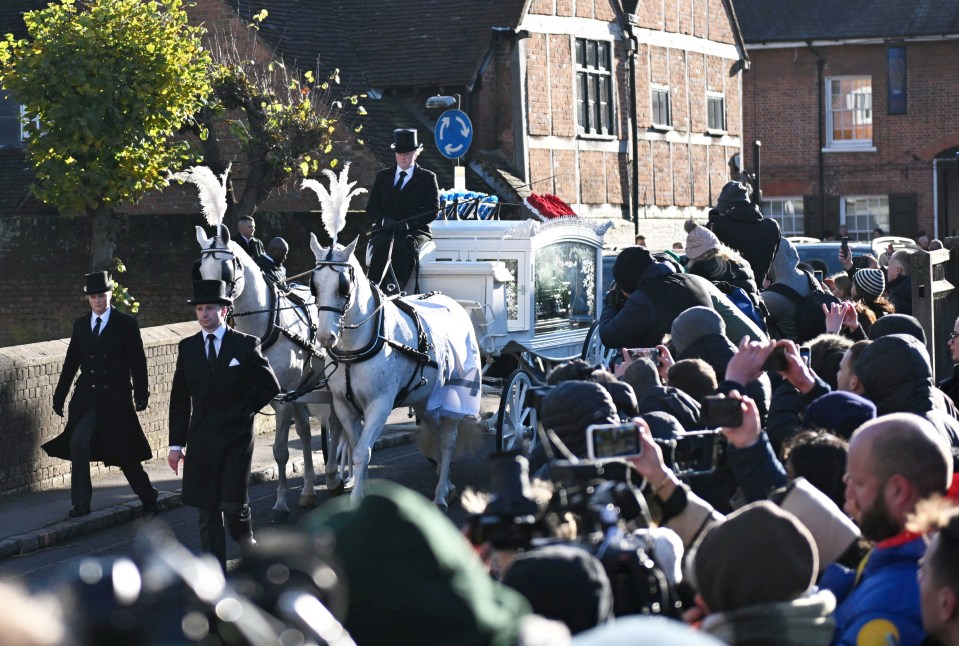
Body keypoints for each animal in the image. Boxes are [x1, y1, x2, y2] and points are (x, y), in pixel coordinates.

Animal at [194, 225, 344, 524]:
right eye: (200, 270)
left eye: (225, 270)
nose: (210, 305)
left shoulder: (282, 396)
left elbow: (281, 451)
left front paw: (280, 505)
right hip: (304, 389)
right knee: (306, 433)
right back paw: (309, 491)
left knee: (337, 425)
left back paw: (337, 476)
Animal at [312, 235, 484, 508]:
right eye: (314, 286)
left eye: (343, 286)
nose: (325, 337)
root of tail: (454, 304)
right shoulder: (343, 406)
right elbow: (355, 445)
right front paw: (363, 488)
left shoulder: (380, 403)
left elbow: (361, 452)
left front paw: (357, 499)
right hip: (425, 400)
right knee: (437, 434)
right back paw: (446, 483)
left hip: (453, 397)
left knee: (448, 441)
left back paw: (440, 494)